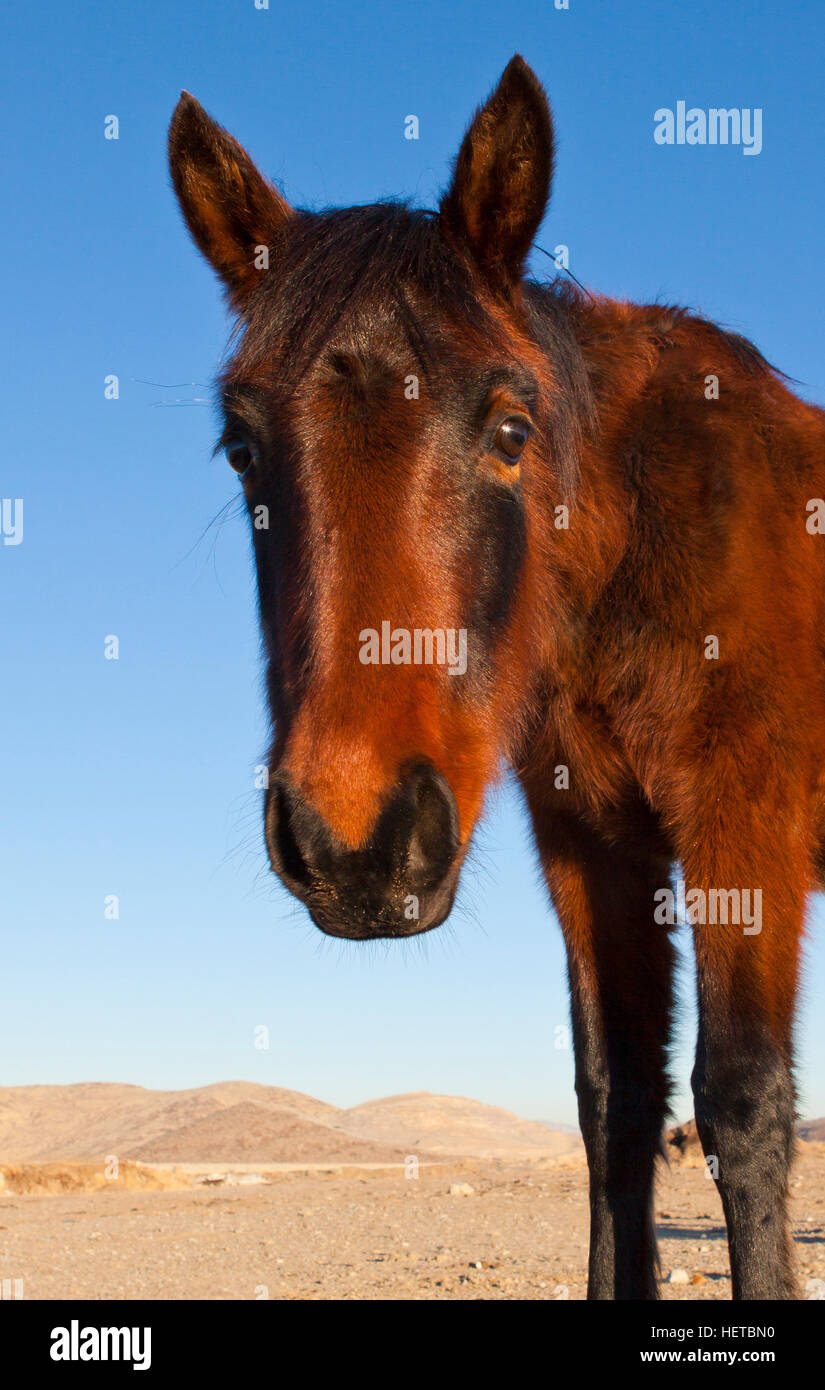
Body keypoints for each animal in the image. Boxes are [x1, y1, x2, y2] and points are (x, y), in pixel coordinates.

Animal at [168, 55, 825, 1300]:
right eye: (241, 447)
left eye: (512, 428)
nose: (354, 842)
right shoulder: (592, 849)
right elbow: (614, 1103)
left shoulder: (743, 826)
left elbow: (744, 1102)